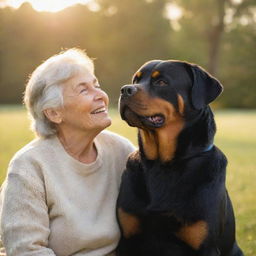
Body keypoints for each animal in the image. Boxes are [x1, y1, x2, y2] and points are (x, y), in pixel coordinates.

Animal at [117, 60, 243, 256]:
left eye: (161, 82)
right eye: (136, 80)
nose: (125, 90)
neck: (162, 164)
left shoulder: (206, 246)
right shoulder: (127, 240)